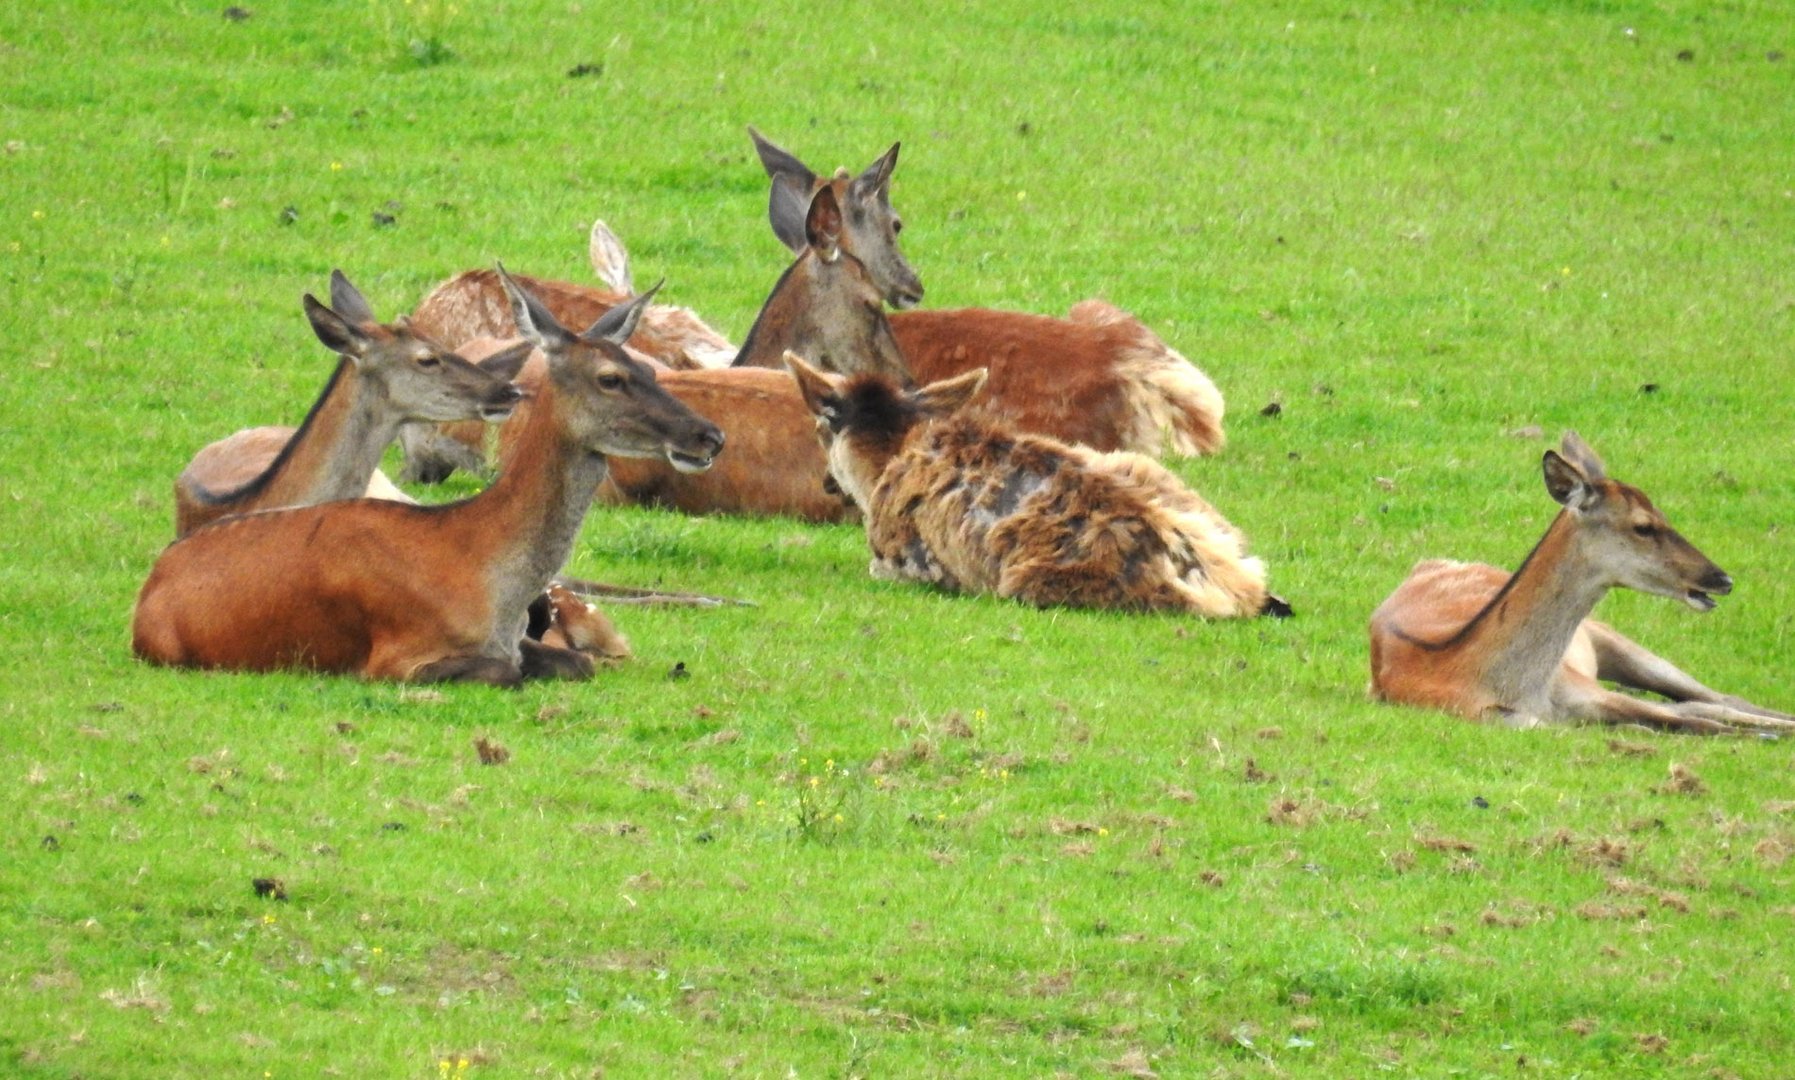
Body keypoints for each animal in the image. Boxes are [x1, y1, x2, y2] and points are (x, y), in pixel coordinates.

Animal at [131, 272, 728, 685]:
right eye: (610, 378)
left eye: (649, 368)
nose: (709, 435)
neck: (482, 571)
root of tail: (153, 581)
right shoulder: (395, 658)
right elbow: (509, 672)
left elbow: (575, 663)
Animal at [793, 353, 1285, 613]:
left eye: (820, 429)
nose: (826, 482)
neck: (884, 464)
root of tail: (1235, 587)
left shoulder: (909, 563)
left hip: (1029, 583)